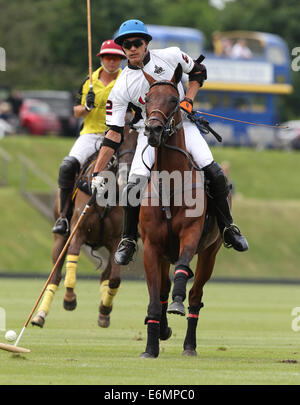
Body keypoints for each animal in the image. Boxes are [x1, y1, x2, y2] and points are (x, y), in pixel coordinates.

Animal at [31, 117, 137, 328]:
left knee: (105, 276)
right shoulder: (78, 233)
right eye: (121, 140)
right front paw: (69, 299)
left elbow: (114, 279)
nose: (128, 173)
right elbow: (71, 266)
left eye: (140, 141)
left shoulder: (115, 241)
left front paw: (105, 309)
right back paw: (39, 315)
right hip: (60, 238)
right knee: (55, 276)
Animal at [138, 64, 223, 356]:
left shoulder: (191, 234)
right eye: (146, 99)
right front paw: (150, 348)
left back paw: (189, 345)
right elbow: (154, 298)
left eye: (175, 100)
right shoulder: (152, 247)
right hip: (165, 254)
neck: (171, 184)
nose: (153, 130)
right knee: (163, 289)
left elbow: (183, 269)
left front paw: (177, 302)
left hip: (211, 251)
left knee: (195, 296)